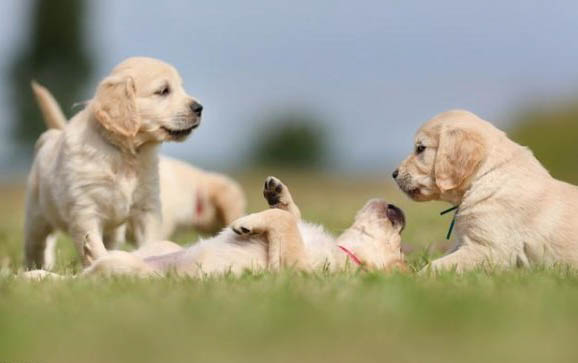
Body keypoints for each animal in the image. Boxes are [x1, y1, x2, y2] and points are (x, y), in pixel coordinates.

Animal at [25, 56, 204, 268]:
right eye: (163, 91)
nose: (199, 108)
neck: (125, 154)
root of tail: (53, 135)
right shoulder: (85, 211)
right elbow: (94, 245)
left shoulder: (147, 208)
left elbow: (150, 241)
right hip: (36, 219)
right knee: (35, 246)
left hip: (114, 232)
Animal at [30, 177, 404, 278]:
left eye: (399, 249)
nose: (400, 211)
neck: (347, 253)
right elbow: (290, 214)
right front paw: (277, 193)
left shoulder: (293, 270)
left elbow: (285, 221)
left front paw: (244, 224)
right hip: (163, 247)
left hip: (128, 272)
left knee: (87, 273)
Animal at [392, 111, 576, 272]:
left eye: (420, 148)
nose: (394, 174)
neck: (484, 176)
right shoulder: (463, 243)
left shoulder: (488, 249)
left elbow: (437, 265)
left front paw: (417, 278)